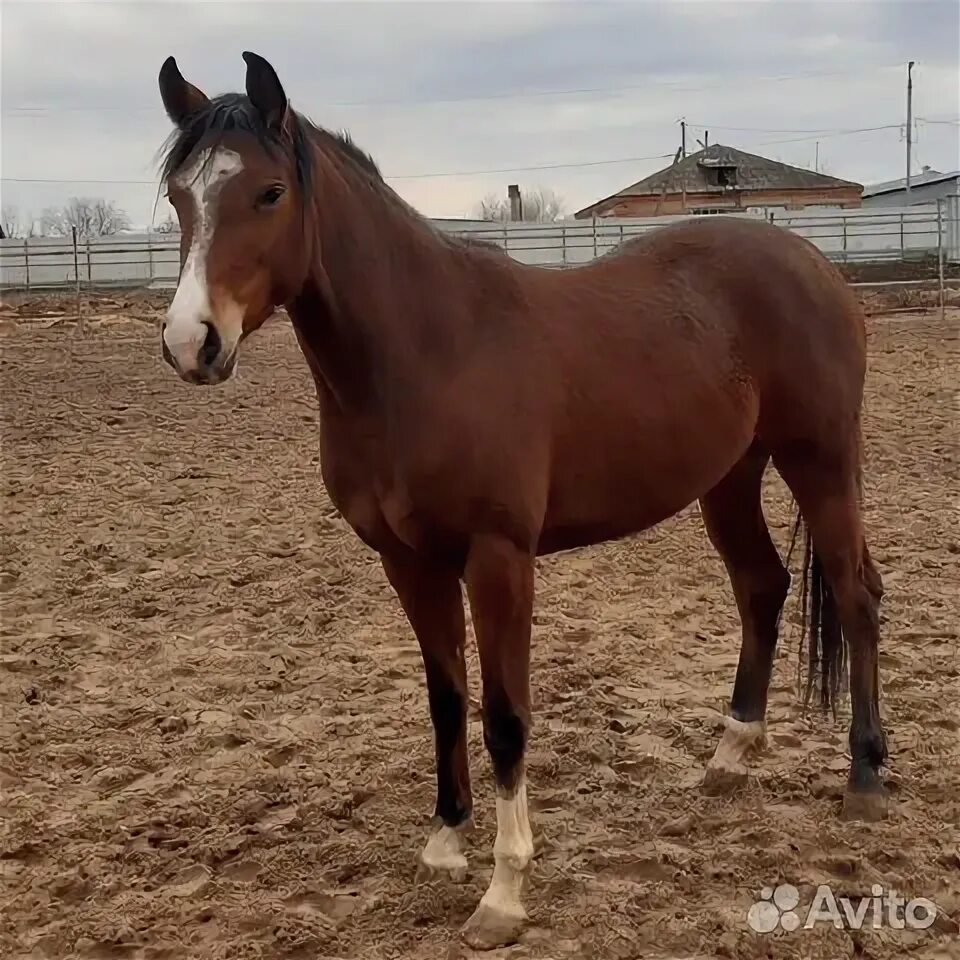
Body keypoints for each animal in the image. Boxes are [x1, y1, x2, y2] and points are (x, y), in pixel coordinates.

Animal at [156, 54, 892, 952]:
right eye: (180, 195)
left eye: (268, 193)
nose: (192, 343)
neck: (425, 354)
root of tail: (812, 262)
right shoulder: (409, 563)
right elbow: (446, 698)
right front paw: (445, 841)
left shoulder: (498, 560)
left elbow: (505, 715)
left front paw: (504, 894)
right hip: (729, 477)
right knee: (763, 587)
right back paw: (729, 755)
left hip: (820, 461)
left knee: (855, 596)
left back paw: (864, 778)